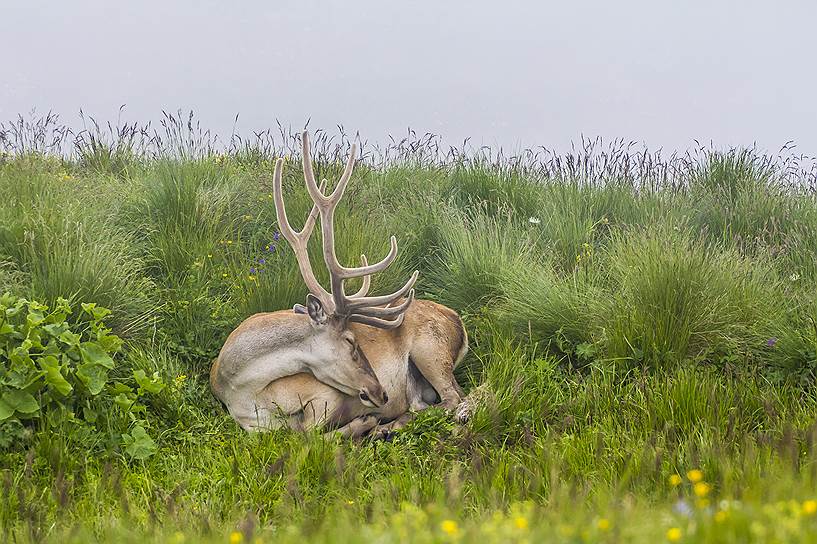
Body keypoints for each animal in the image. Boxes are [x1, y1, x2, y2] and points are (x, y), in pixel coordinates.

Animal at [207, 132, 468, 438]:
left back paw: (385, 426)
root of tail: (457, 319)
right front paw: (365, 423)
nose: (382, 394)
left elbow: (309, 433)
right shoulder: (255, 428)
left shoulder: (325, 394)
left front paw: (363, 422)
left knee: (454, 397)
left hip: (431, 348)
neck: (241, 391)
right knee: (424, 404)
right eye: (351, 341)